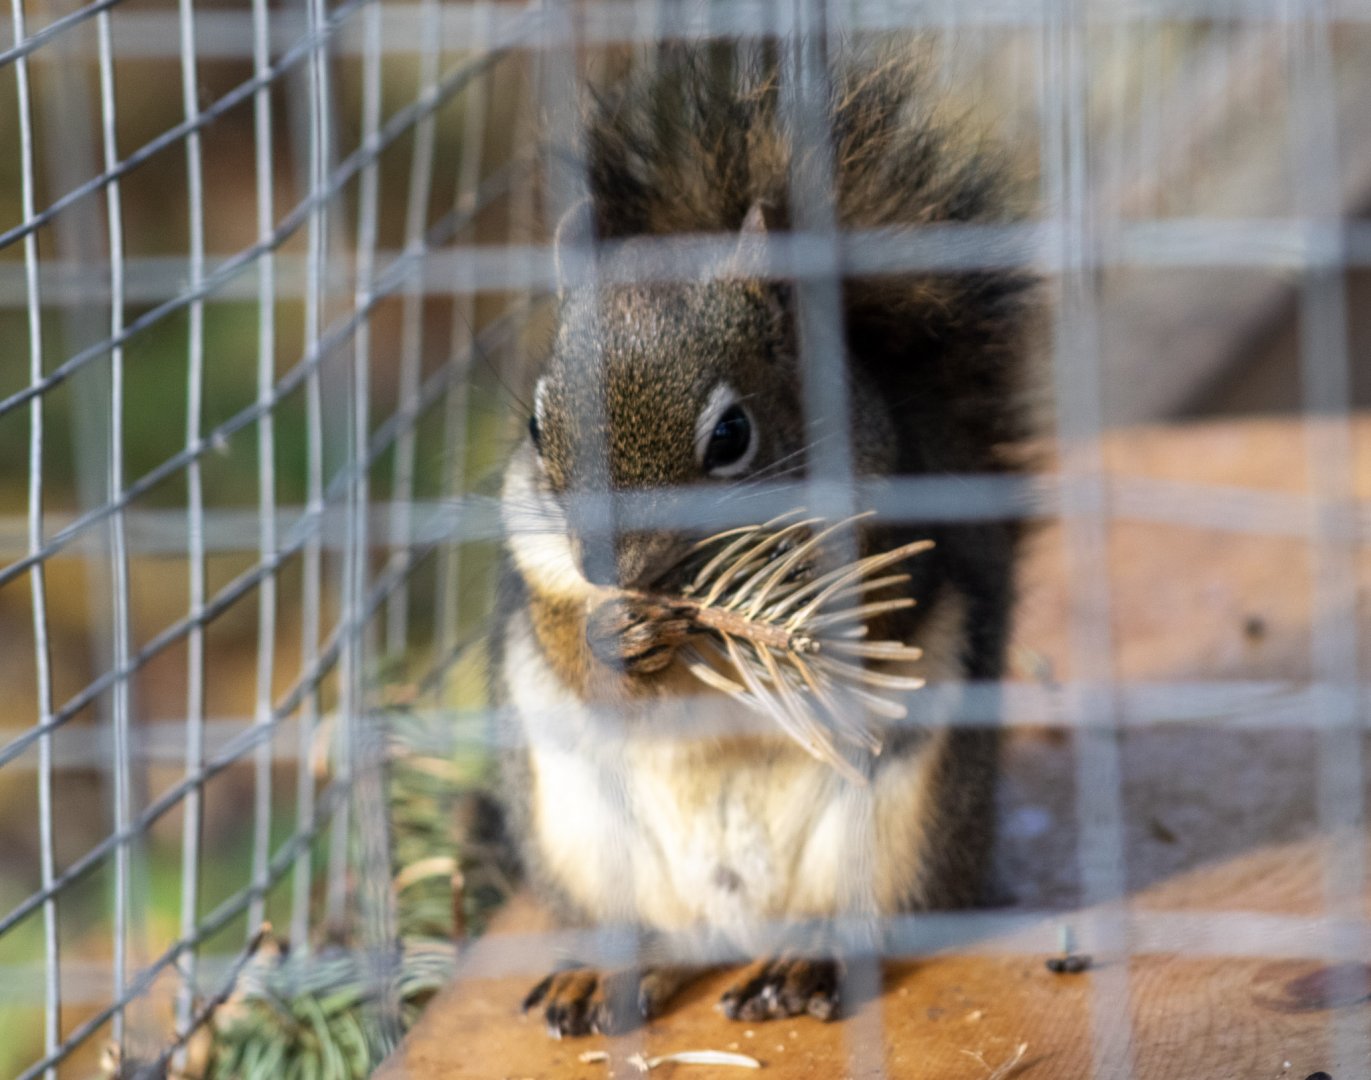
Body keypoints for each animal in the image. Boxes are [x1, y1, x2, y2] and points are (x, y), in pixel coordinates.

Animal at [489, 44, 1033, 1038]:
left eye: (731, 436)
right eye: (538, 430)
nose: (608, 569)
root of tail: (738, 925)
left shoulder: (887, 539)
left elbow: (860, 629)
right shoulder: (535, 566)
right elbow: (570, 651)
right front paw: (610, 637)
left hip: (902, 823)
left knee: (866, 922)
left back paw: (806, 963)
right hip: (578, 838)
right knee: (653, 939)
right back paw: (614, 973)